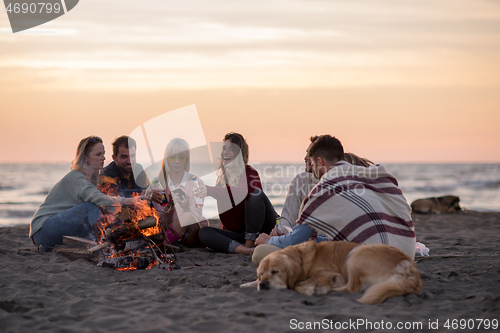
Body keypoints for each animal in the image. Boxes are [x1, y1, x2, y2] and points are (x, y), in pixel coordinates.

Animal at [242, 240, 422, 304]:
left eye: (275, 272)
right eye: (260, 274)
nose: (263, 284)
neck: (301, 257)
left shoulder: (328, 273)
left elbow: (300, 284)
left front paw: (311, 289)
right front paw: (248, 284)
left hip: (357, 253)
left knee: (353, 287)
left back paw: (333, 289)